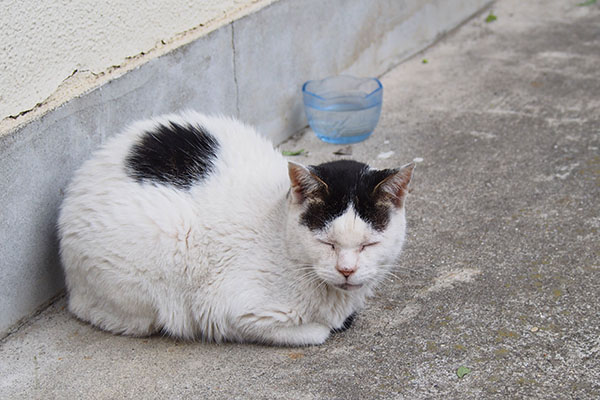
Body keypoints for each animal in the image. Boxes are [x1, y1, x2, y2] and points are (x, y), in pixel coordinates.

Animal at [58, 111, 414, 346]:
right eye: (327, 243)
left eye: (369, 244)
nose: (346, 270)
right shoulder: (229, 312)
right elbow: (316, 332)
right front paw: (329, 325)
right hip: (162, 250)